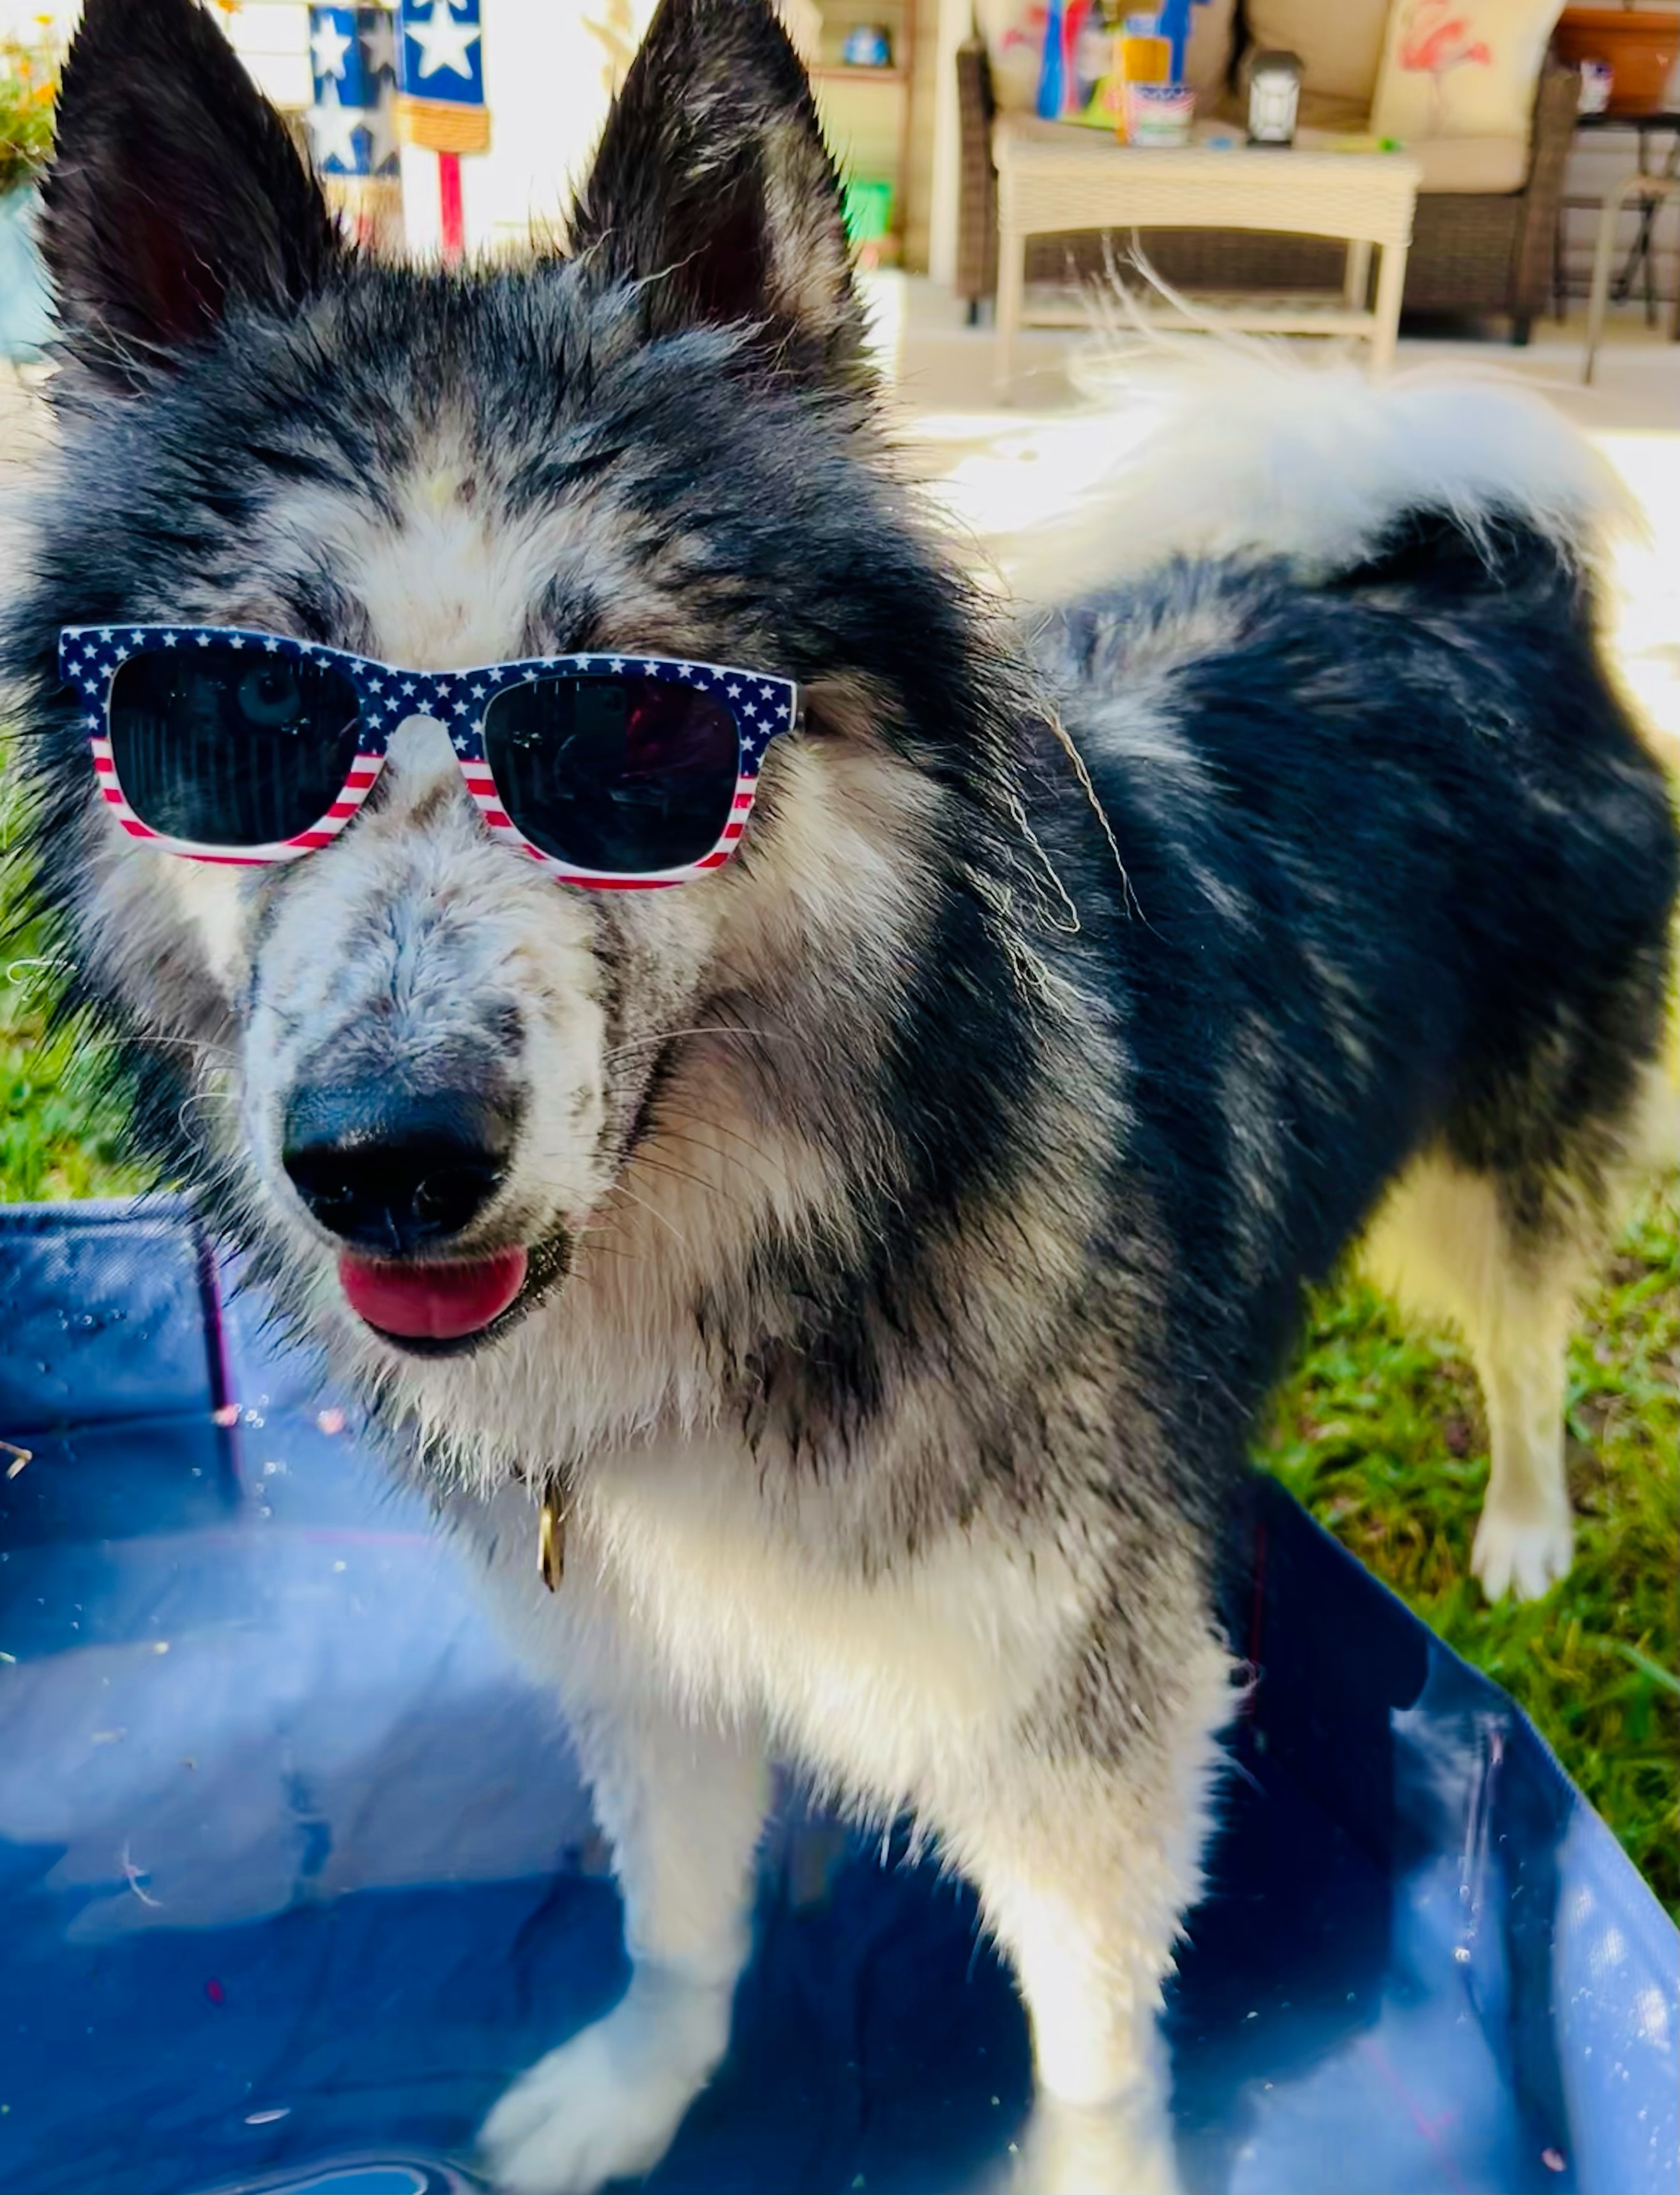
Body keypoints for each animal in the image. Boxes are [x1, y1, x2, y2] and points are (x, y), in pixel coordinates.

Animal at [6, 4, 1669, 2195]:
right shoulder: (657, 1665)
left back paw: (1525, 1524)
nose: (386, 1163)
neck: (811, 1228)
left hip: (1508, 1147)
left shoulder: (1083, 1721)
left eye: (632, 731)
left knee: (1524, 1327)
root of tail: (1477, 580)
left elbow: (1088, 2050)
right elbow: (679, 1920)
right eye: (240, 712)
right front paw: (629, 2091)